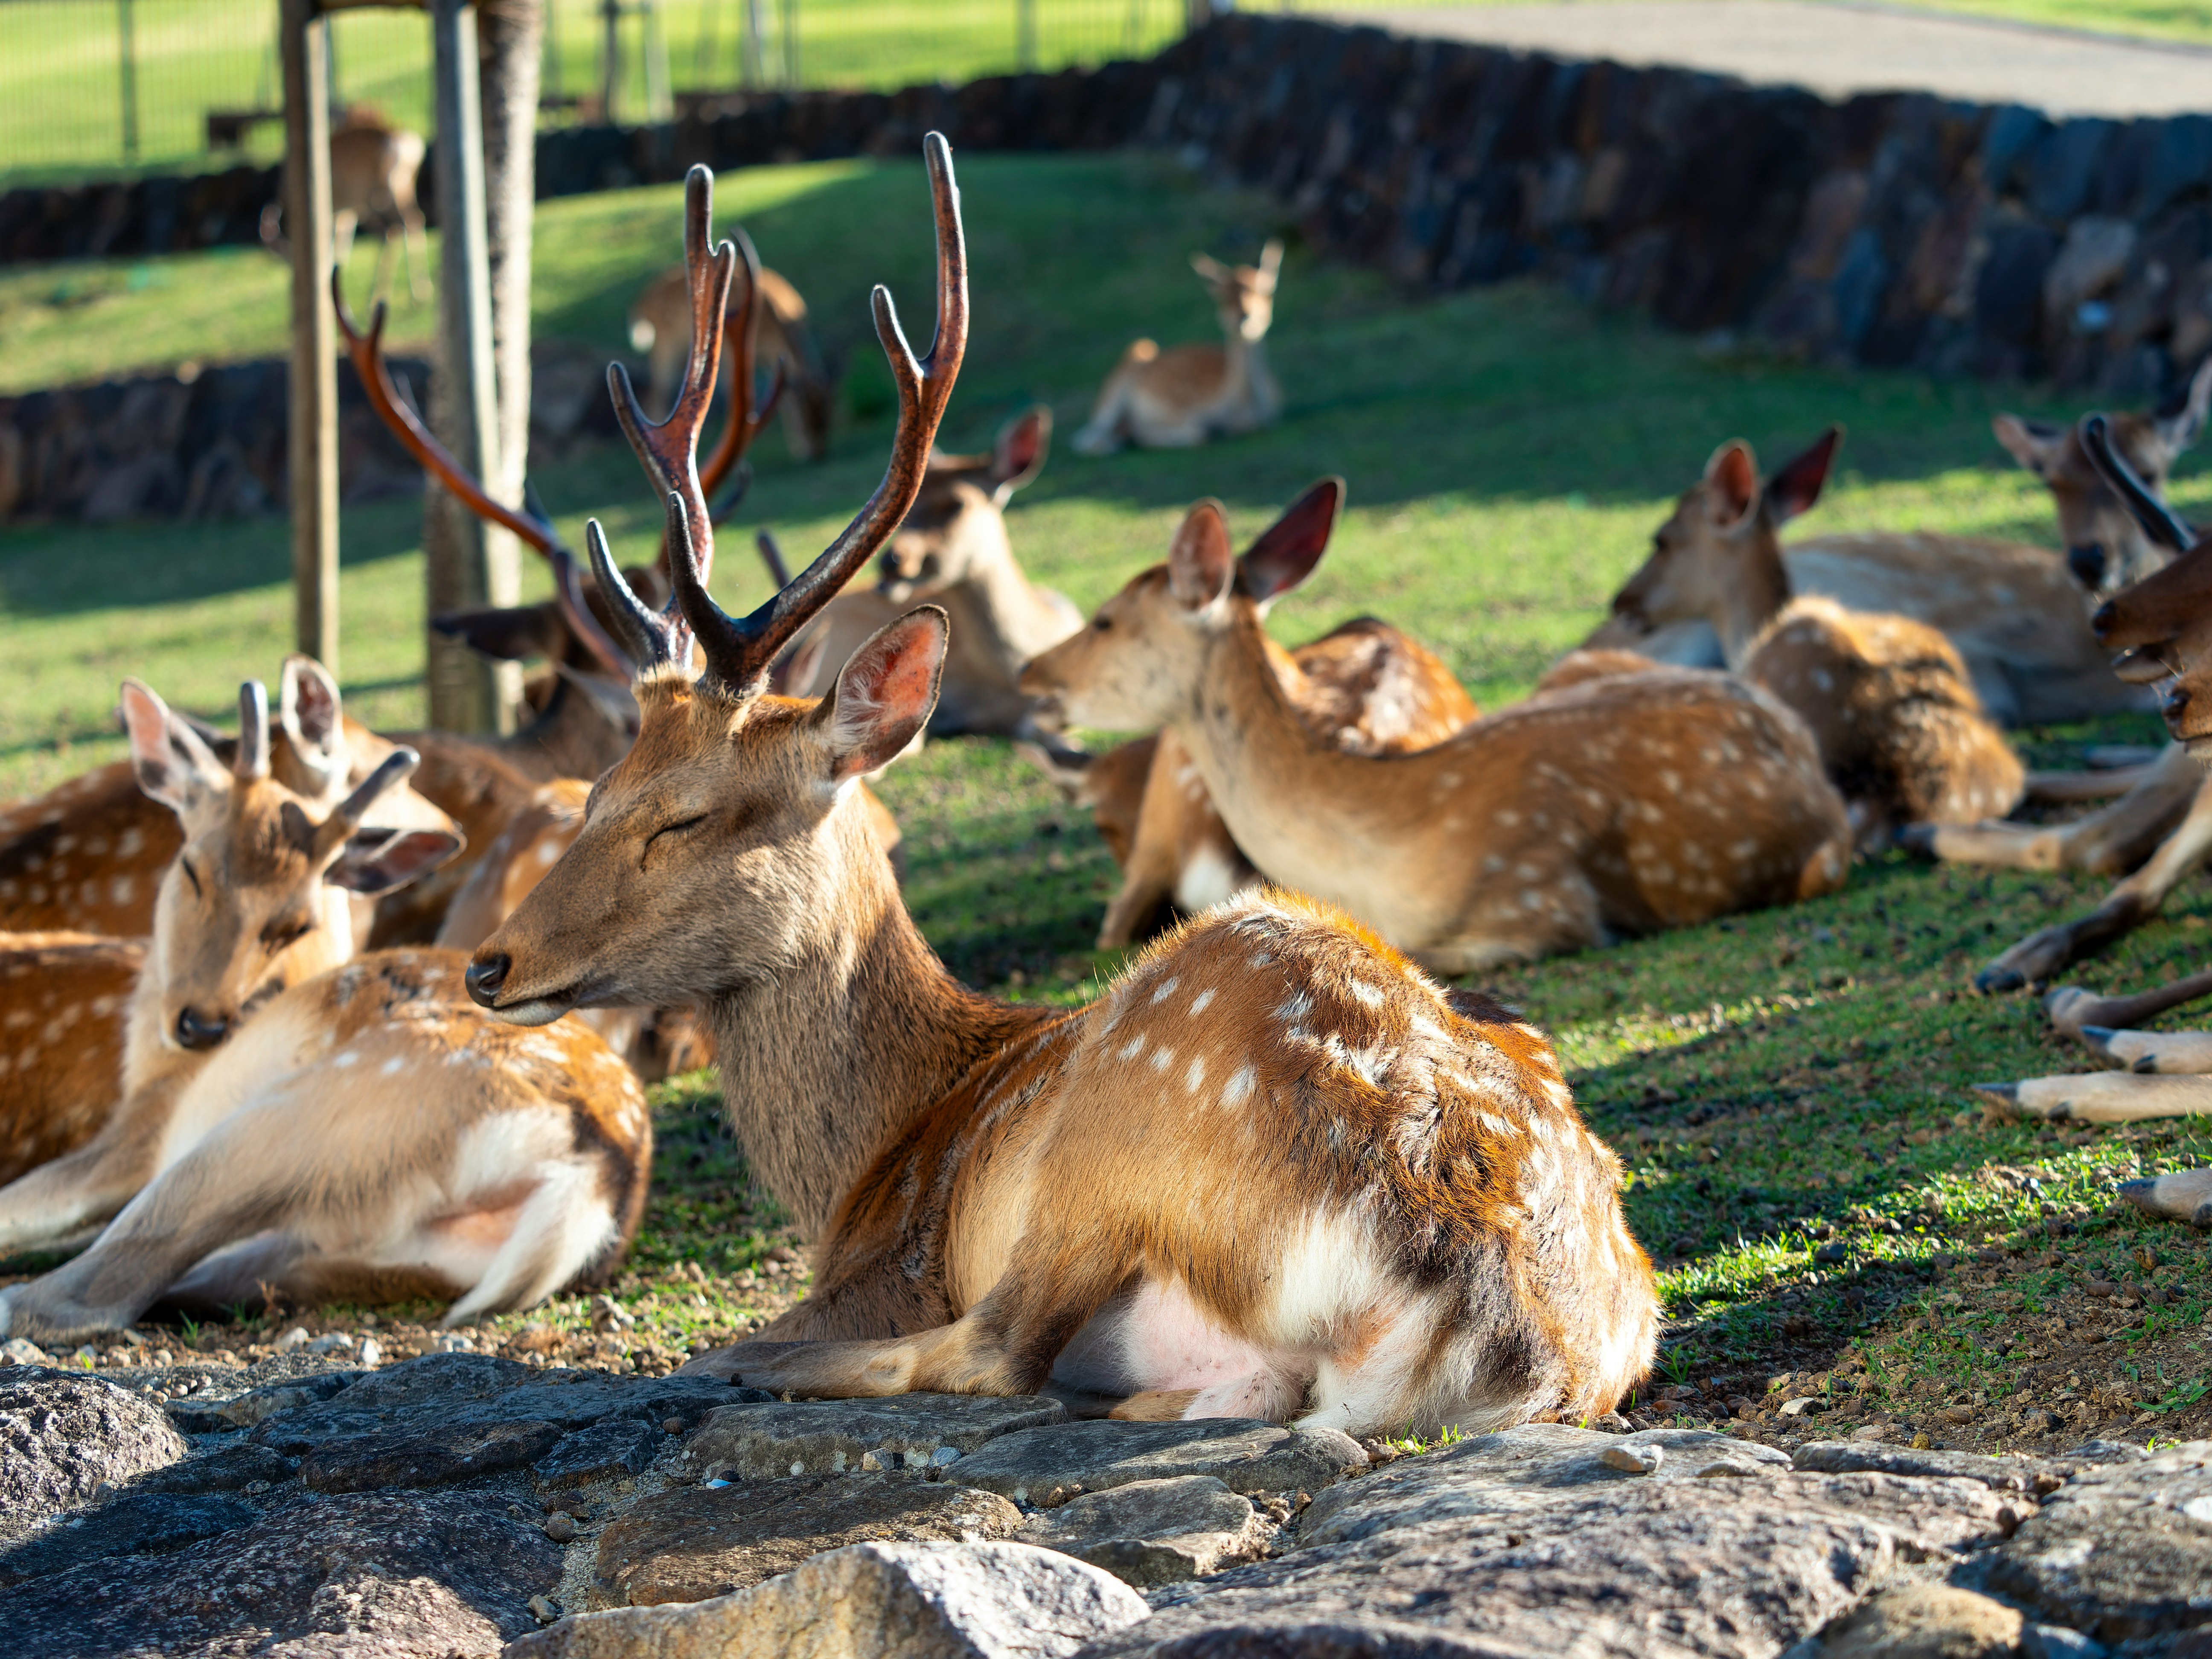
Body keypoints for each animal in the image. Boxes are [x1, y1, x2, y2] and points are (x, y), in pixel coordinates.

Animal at [261, 106, 431, 306]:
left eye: (290, 263)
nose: (294, 288)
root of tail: (408, 142)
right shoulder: (348, 211)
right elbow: (341, 249)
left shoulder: (338, 212)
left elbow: (334, 249)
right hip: (396, 191)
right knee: (404, 225)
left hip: (386, 191)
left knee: (404, 225)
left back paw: (412, 293)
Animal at [632, 260, 835, 461]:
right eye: (804, 418)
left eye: (827, 417)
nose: (817, 452)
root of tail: (641, 304)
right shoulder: (731, 349)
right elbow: (731, 389)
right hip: (666, 344)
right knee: (659, 390)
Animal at [1072, 241, 1282, 456]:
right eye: (1223, 297)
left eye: (1265, 291)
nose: (1245, 317)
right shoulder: (1179, 413)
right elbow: (1196, 432)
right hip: (1124, 373)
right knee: (1085, 439)